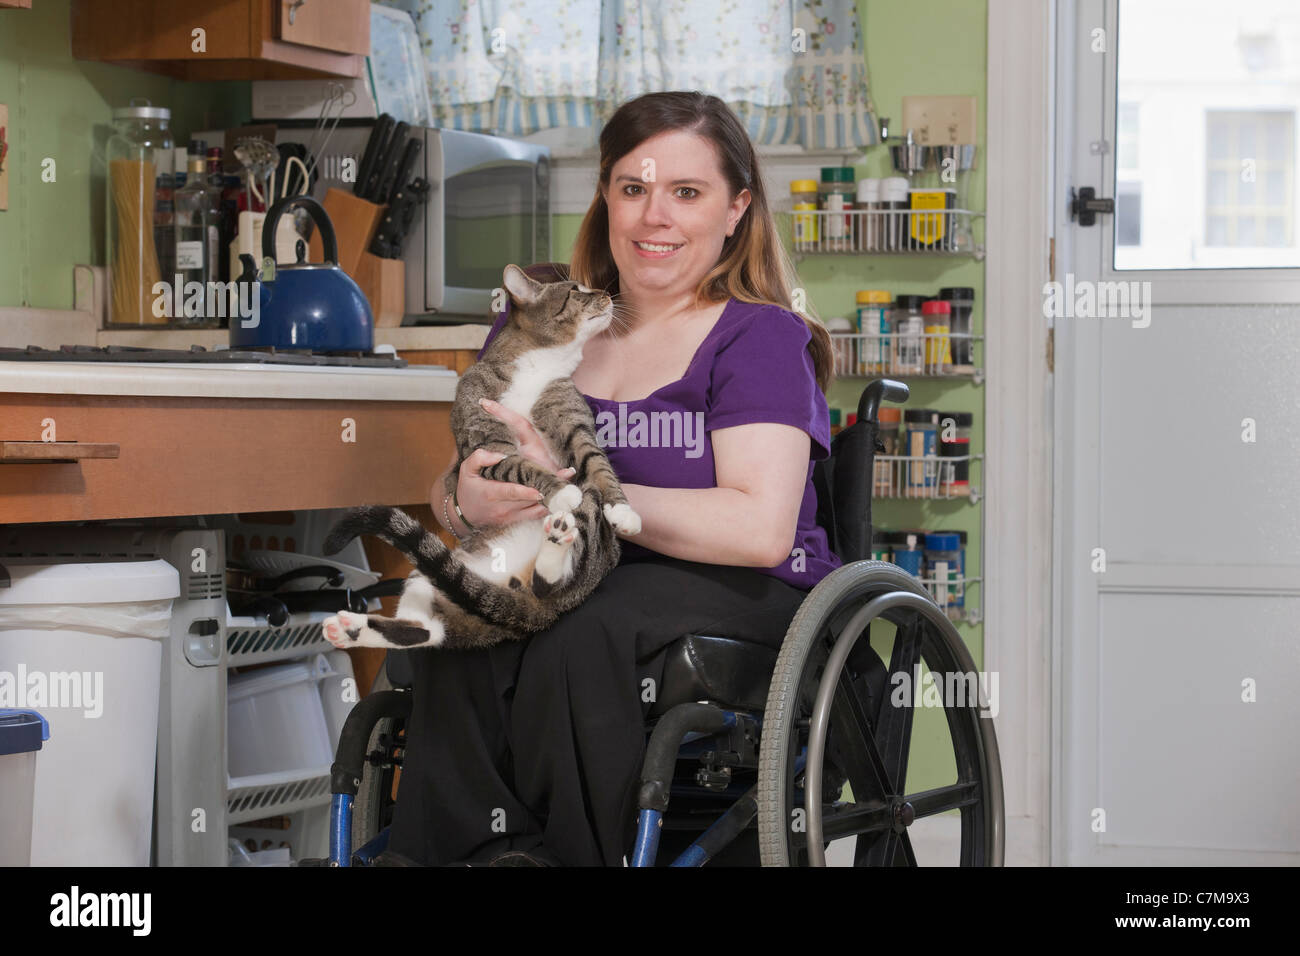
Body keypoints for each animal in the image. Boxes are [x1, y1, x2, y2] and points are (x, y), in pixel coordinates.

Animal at [317, 264, 637, 650]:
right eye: (576, 290)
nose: (607, 293)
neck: (538, 367)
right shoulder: (488, 446)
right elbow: (523, 466)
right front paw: (560, 490)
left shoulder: (575, 426)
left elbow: (599, 466)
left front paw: (623, 511)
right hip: (426, 574)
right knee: (430, 629)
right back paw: (350, 629)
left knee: (549, 584)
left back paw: (557, 541)